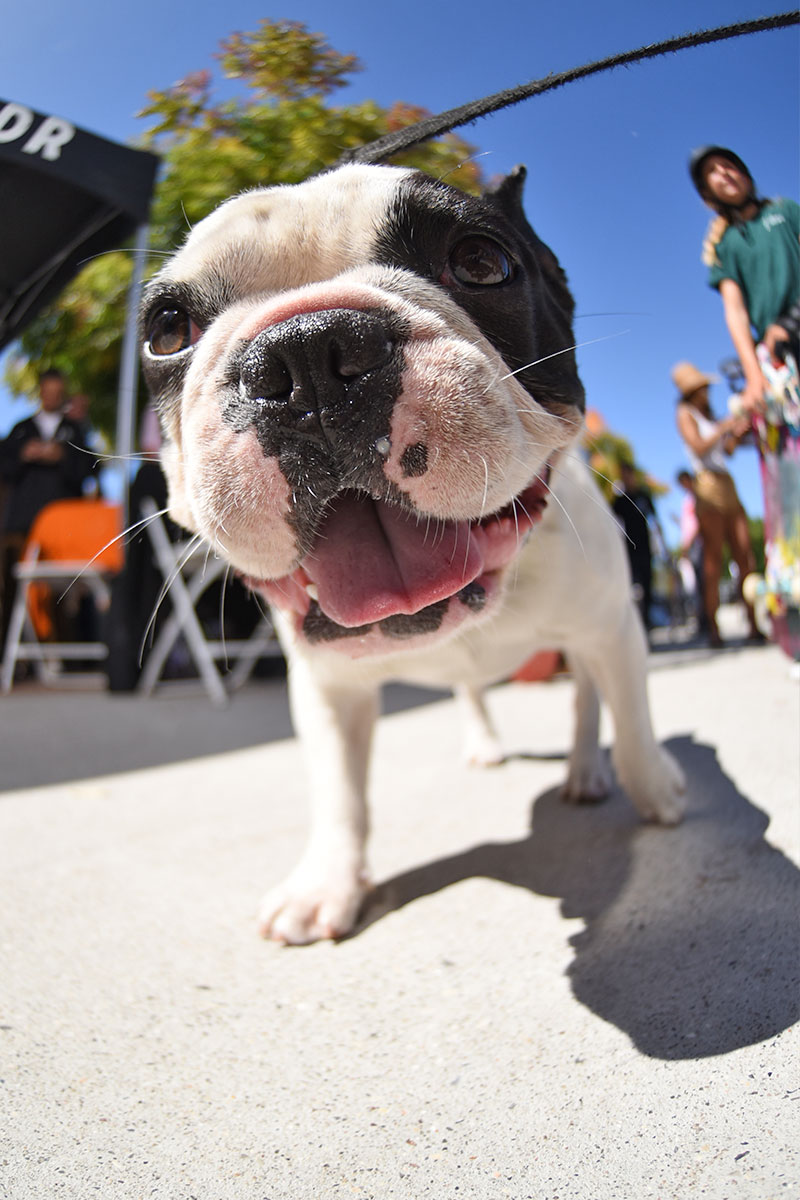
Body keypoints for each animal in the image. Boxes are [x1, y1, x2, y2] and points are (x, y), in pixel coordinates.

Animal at [140, 164, 686, 940]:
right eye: (166, 330)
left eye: (482, 261)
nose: (306, 350)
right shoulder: (327, 688)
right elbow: (338, 790)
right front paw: (326, 884)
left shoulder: (613, 626)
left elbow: (632, 719)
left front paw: (657, 790)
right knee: (474, 693)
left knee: (585, 701)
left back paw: (586, 772)